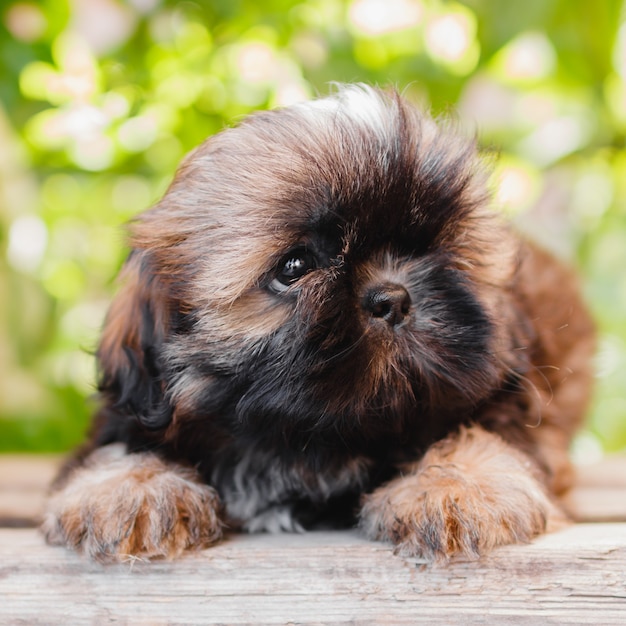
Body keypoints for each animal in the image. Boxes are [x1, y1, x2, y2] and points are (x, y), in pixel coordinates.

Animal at [41, 84, 592, 560]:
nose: (393, 298)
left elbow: (487, 436)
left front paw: (453, 487)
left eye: (438, 246)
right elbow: (118, 447)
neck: (306, 440)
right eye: (294, 267)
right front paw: (129, 490)